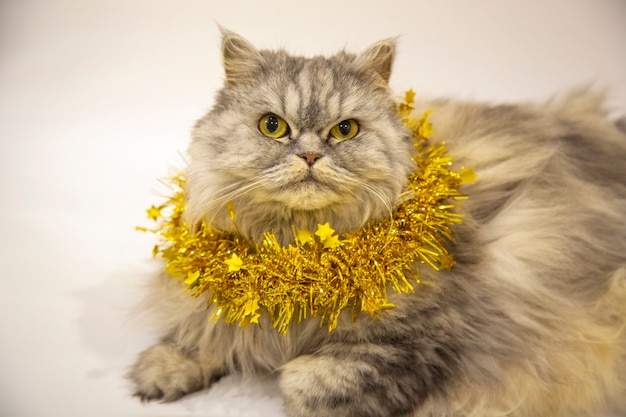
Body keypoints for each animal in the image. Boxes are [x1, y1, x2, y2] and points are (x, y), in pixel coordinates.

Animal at [129, 29, 624, 416]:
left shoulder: (420, 338)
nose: (310, 156)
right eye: (272, 126)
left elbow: (305, 383)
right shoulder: (218, 307)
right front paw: (159, 372)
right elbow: (201, 333)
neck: (298, 262)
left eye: (345, 130)